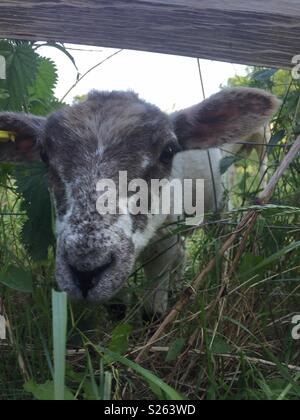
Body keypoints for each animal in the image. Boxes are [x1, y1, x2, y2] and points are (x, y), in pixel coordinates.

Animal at [0, 88, 280, 312]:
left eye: (168, 152)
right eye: (44, 155)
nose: (86, 271)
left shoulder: (163, 245)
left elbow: (153, 309)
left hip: (222, 199)